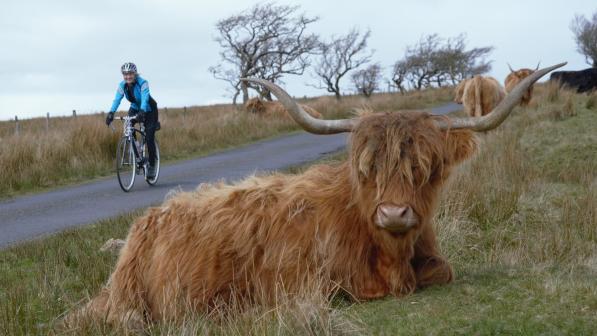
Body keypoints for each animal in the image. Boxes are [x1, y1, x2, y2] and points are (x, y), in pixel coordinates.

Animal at [65, 63, 564, 328]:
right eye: (367, 168)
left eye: (425, 169)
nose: (394, 213)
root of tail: (147, 220)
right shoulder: (310, 282)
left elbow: (443, 270)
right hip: (130, 304)